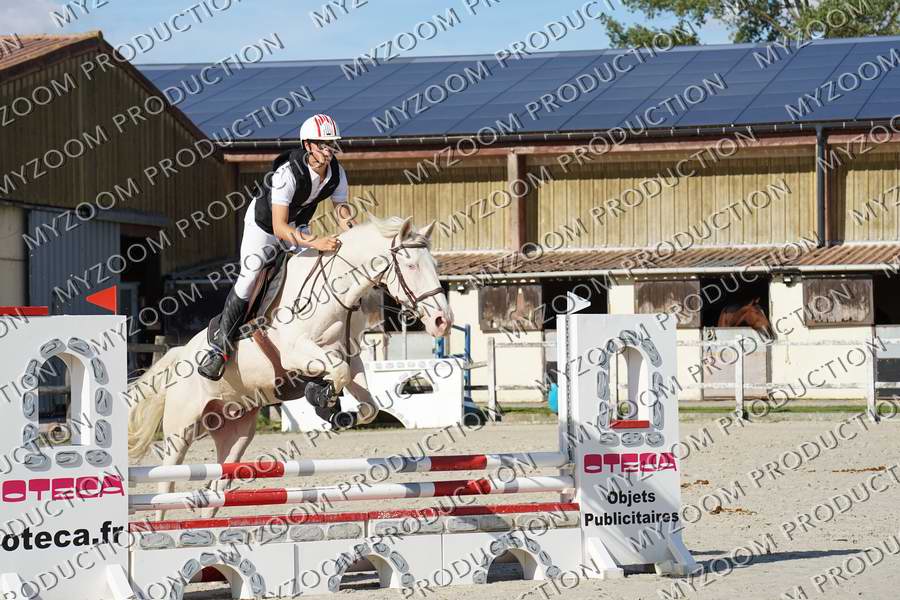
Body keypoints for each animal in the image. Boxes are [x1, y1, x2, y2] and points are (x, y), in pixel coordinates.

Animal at [126, 216, 452, 519]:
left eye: (435, 264)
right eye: (410, 265)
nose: (442, 321)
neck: (336, 291)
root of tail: (179, 354)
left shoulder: (350, 355)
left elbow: (365, 401)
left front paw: (335, 410)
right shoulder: (295, 353)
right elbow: (338, 372)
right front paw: (321, 399)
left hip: (235, 432)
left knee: (217, 486)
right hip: (181, 428)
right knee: (166, 484)